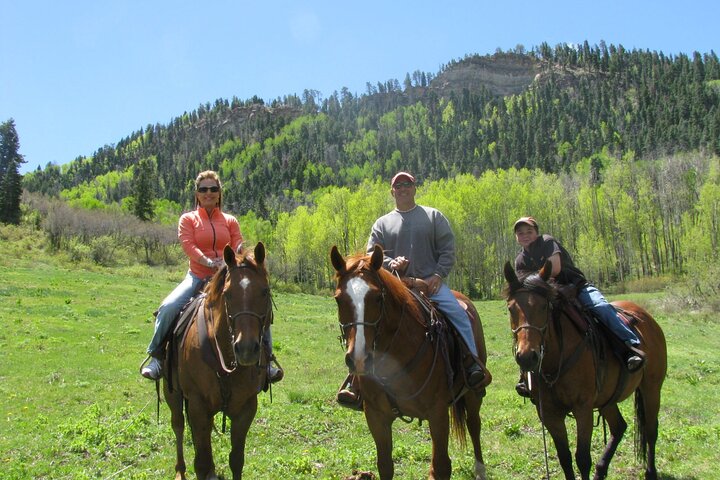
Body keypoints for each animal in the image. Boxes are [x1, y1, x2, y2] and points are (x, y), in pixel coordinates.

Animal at [163, 243, 272, 480]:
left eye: (265, 291)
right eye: (228, 294)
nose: (246, 349)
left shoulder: (246, 407)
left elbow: (236, 460)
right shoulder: (197, 404)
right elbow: (202, 462)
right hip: (172, 392)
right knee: (178, 426)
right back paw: (180, 471)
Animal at [330, 244, 489, 480]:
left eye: (377, 298)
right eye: (338, 299)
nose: (359, 358)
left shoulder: (438, 413)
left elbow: (442, 466)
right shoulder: (376, 417)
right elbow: (385, 466)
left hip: (472, 393)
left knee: (474, 424)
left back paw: (480, 469)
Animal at [503, 260, 667, 480]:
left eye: (544, 306)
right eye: (511, 308)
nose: (527, 356)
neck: (555, 360)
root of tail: (647, 318)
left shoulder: (583, 408)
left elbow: (582, 458)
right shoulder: (550, 413)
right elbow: (564, 457)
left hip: (651, 388)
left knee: (650, 430)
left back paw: (650, 472)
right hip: (607, 399)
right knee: (619, 427)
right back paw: (601, 470)